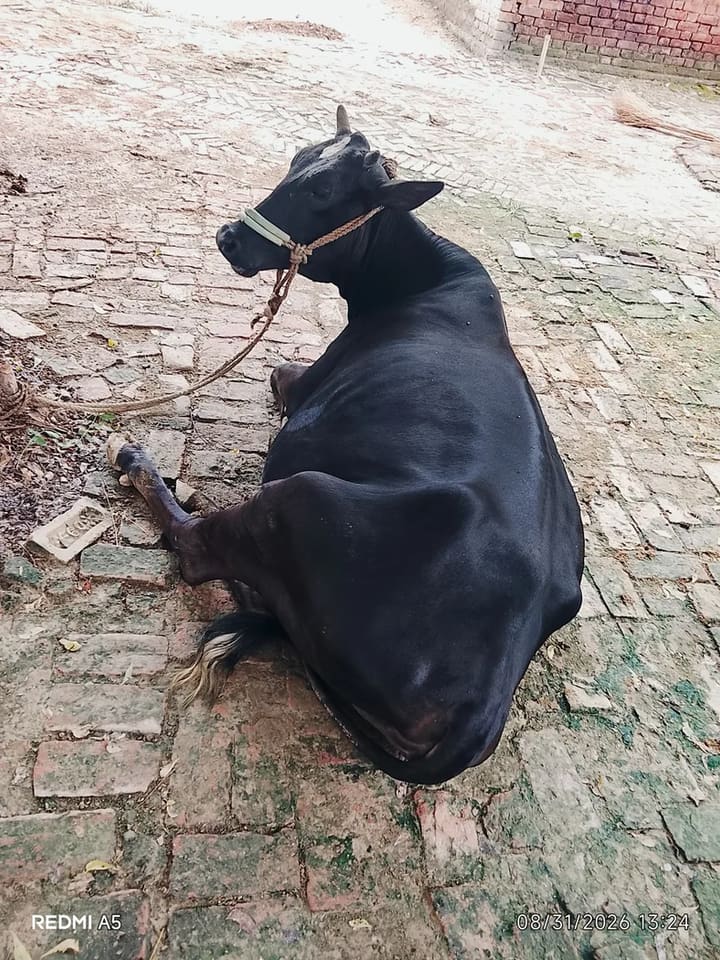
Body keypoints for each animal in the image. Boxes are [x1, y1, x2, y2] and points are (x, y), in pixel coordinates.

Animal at [107, 105, 584, 785]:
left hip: (300, 498)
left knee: (199, 553)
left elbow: (278, 375)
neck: (417, 277)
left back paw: (139, 462)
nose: (229, 237)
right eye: (296, 161)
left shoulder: (301, 382)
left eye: (323, 192)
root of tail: (481, 712)